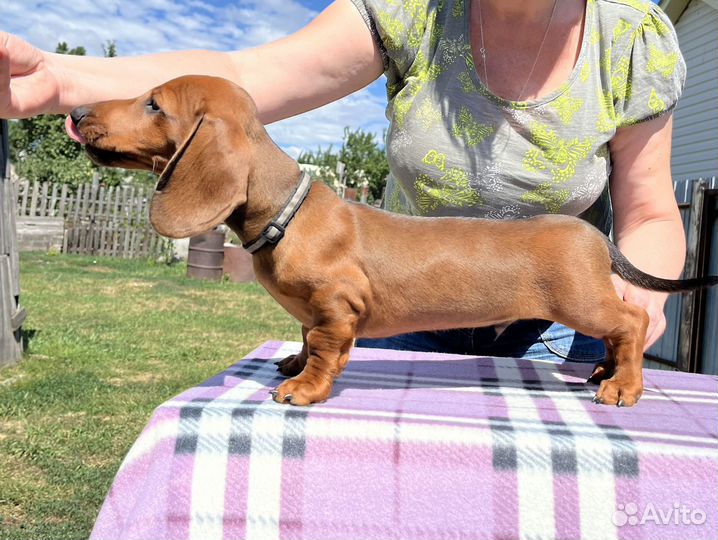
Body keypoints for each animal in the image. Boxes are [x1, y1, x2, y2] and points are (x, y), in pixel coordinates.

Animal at [69, 75, 718, 404]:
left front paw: (304, 388)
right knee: (618, 334)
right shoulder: (313, 311)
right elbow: (303, 336)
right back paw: (605, 374)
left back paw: (623, 387)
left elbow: (325, 350)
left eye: (153, 103)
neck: (288, 212)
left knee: (632, 323)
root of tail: (592, 235)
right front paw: (291, 364)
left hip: (582, 301)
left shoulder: (338, 308)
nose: (75, 112)